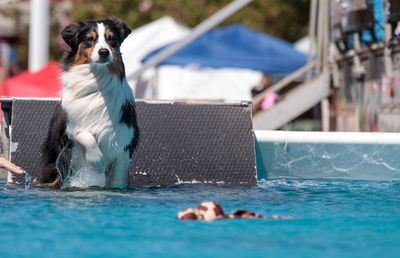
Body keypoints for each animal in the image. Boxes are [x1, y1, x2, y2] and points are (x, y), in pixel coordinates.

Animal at [36, 17, 139, 188]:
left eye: (112, 38)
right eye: (89, 39)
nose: (104, 52)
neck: (97, 86)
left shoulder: (123, 144)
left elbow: (116, 181)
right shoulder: (70, 128)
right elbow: (85, 135)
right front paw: (97, 161)